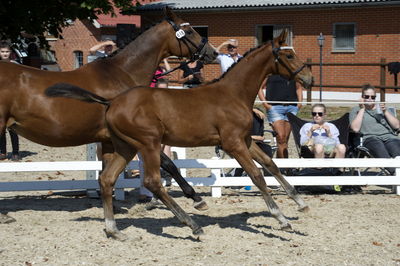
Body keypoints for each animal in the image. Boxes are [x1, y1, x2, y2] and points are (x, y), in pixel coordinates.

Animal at [46, 30, 312, 240]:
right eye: (288, 56)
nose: (308, 78)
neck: (233, 93)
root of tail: (111, 102)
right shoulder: (233, 144)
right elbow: (257, 175)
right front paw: (281, 219)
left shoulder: (245, 140)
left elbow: (271, 164)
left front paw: (301, 204)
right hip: (149, 144)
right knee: (152, 182)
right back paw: (193, 225)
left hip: (126, 147)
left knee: (107, 179)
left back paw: (114, 230)